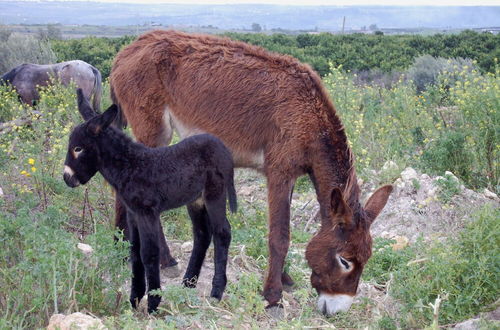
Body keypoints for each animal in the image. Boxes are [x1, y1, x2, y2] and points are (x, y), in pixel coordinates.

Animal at [63, 89, 237, 314]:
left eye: (78, 149)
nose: (67, 179)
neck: (129, 166)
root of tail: (222, 146)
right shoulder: (133, 214)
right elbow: (135, 251)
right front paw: (135, 298)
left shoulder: (147, 213)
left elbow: (149, 253)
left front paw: (153, 302)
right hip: (195, 200)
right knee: (202, 234)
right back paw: (188, 283)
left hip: (215, 194)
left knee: (222, 232)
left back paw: (216, 292)